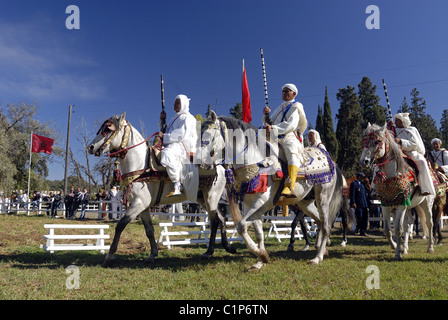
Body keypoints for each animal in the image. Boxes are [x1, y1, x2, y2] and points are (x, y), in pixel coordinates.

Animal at [86, 112, 236, 268]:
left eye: (108, 129)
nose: (90, 147)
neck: (142, 165)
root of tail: (220, 166)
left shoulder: (138, 204)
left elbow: (120, 225)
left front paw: (109, 256)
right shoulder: (143, 207)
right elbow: (149, 230)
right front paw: (152, 255)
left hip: (211, 197)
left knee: (214, 220)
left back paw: (209, 251)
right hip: (203, 199)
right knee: (221, 217)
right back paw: (226, 247)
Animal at [201, 112, 348, 268]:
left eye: (210, 135)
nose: (202, 163)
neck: (255, 160)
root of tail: (331, 162)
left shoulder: (264, 202)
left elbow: (241, 226)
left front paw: (261, 255)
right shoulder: (248, 204)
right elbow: (257, 233)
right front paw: (261, 259)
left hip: (323, 198)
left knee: (326, 225)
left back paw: (318, 257)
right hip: (305, 203)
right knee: (319, 222)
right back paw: (321, 249)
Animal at [356, 122, 434, 260]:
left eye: (377, 141)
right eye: (363, 141)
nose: (363, 161)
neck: (391, 175)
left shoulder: (401, 204)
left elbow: (398, 229)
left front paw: (397, 253)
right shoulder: (386, 204)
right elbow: (387, 230)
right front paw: (394, 246)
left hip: (426, 204)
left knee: (429, 223)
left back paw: (430, 248)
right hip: (409, 207)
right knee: (408, 225)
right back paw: (405, 248)